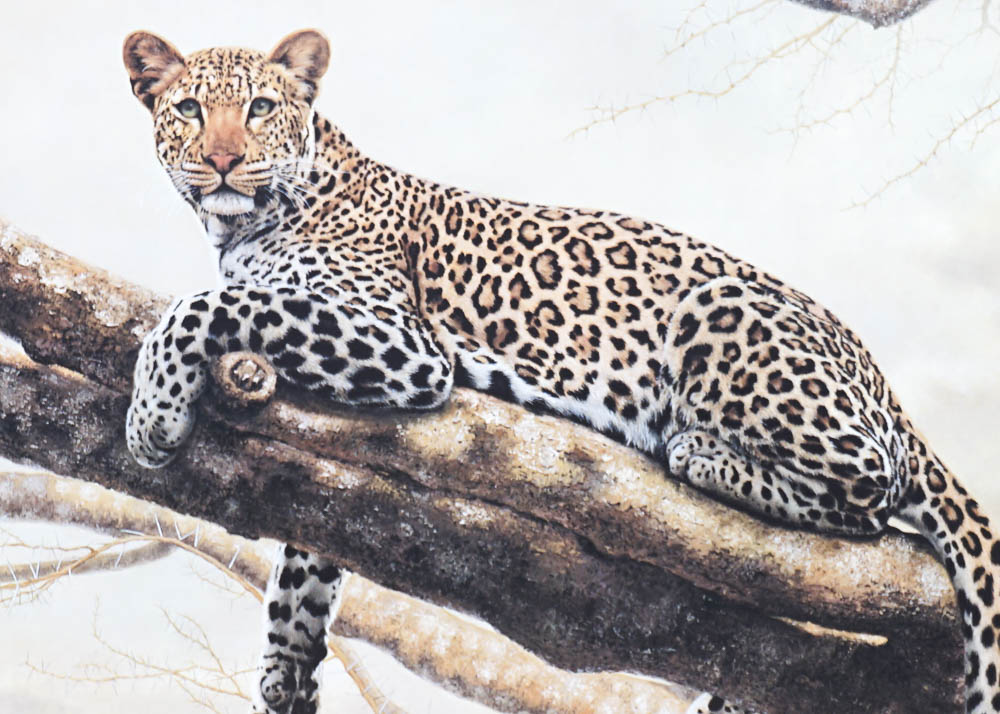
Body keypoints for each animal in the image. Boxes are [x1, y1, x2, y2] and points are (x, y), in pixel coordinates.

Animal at [122, 28, 1000, 714]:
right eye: (189, 109)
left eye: (260, 109)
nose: (224, 160)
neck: (246, 226)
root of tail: (881, 380)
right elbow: (316, 529)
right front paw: (288, 661)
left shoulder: (406, 344)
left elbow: (209, 305)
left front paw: (152, 413)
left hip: (726, 320)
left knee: (872, 492)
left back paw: (700, 453)